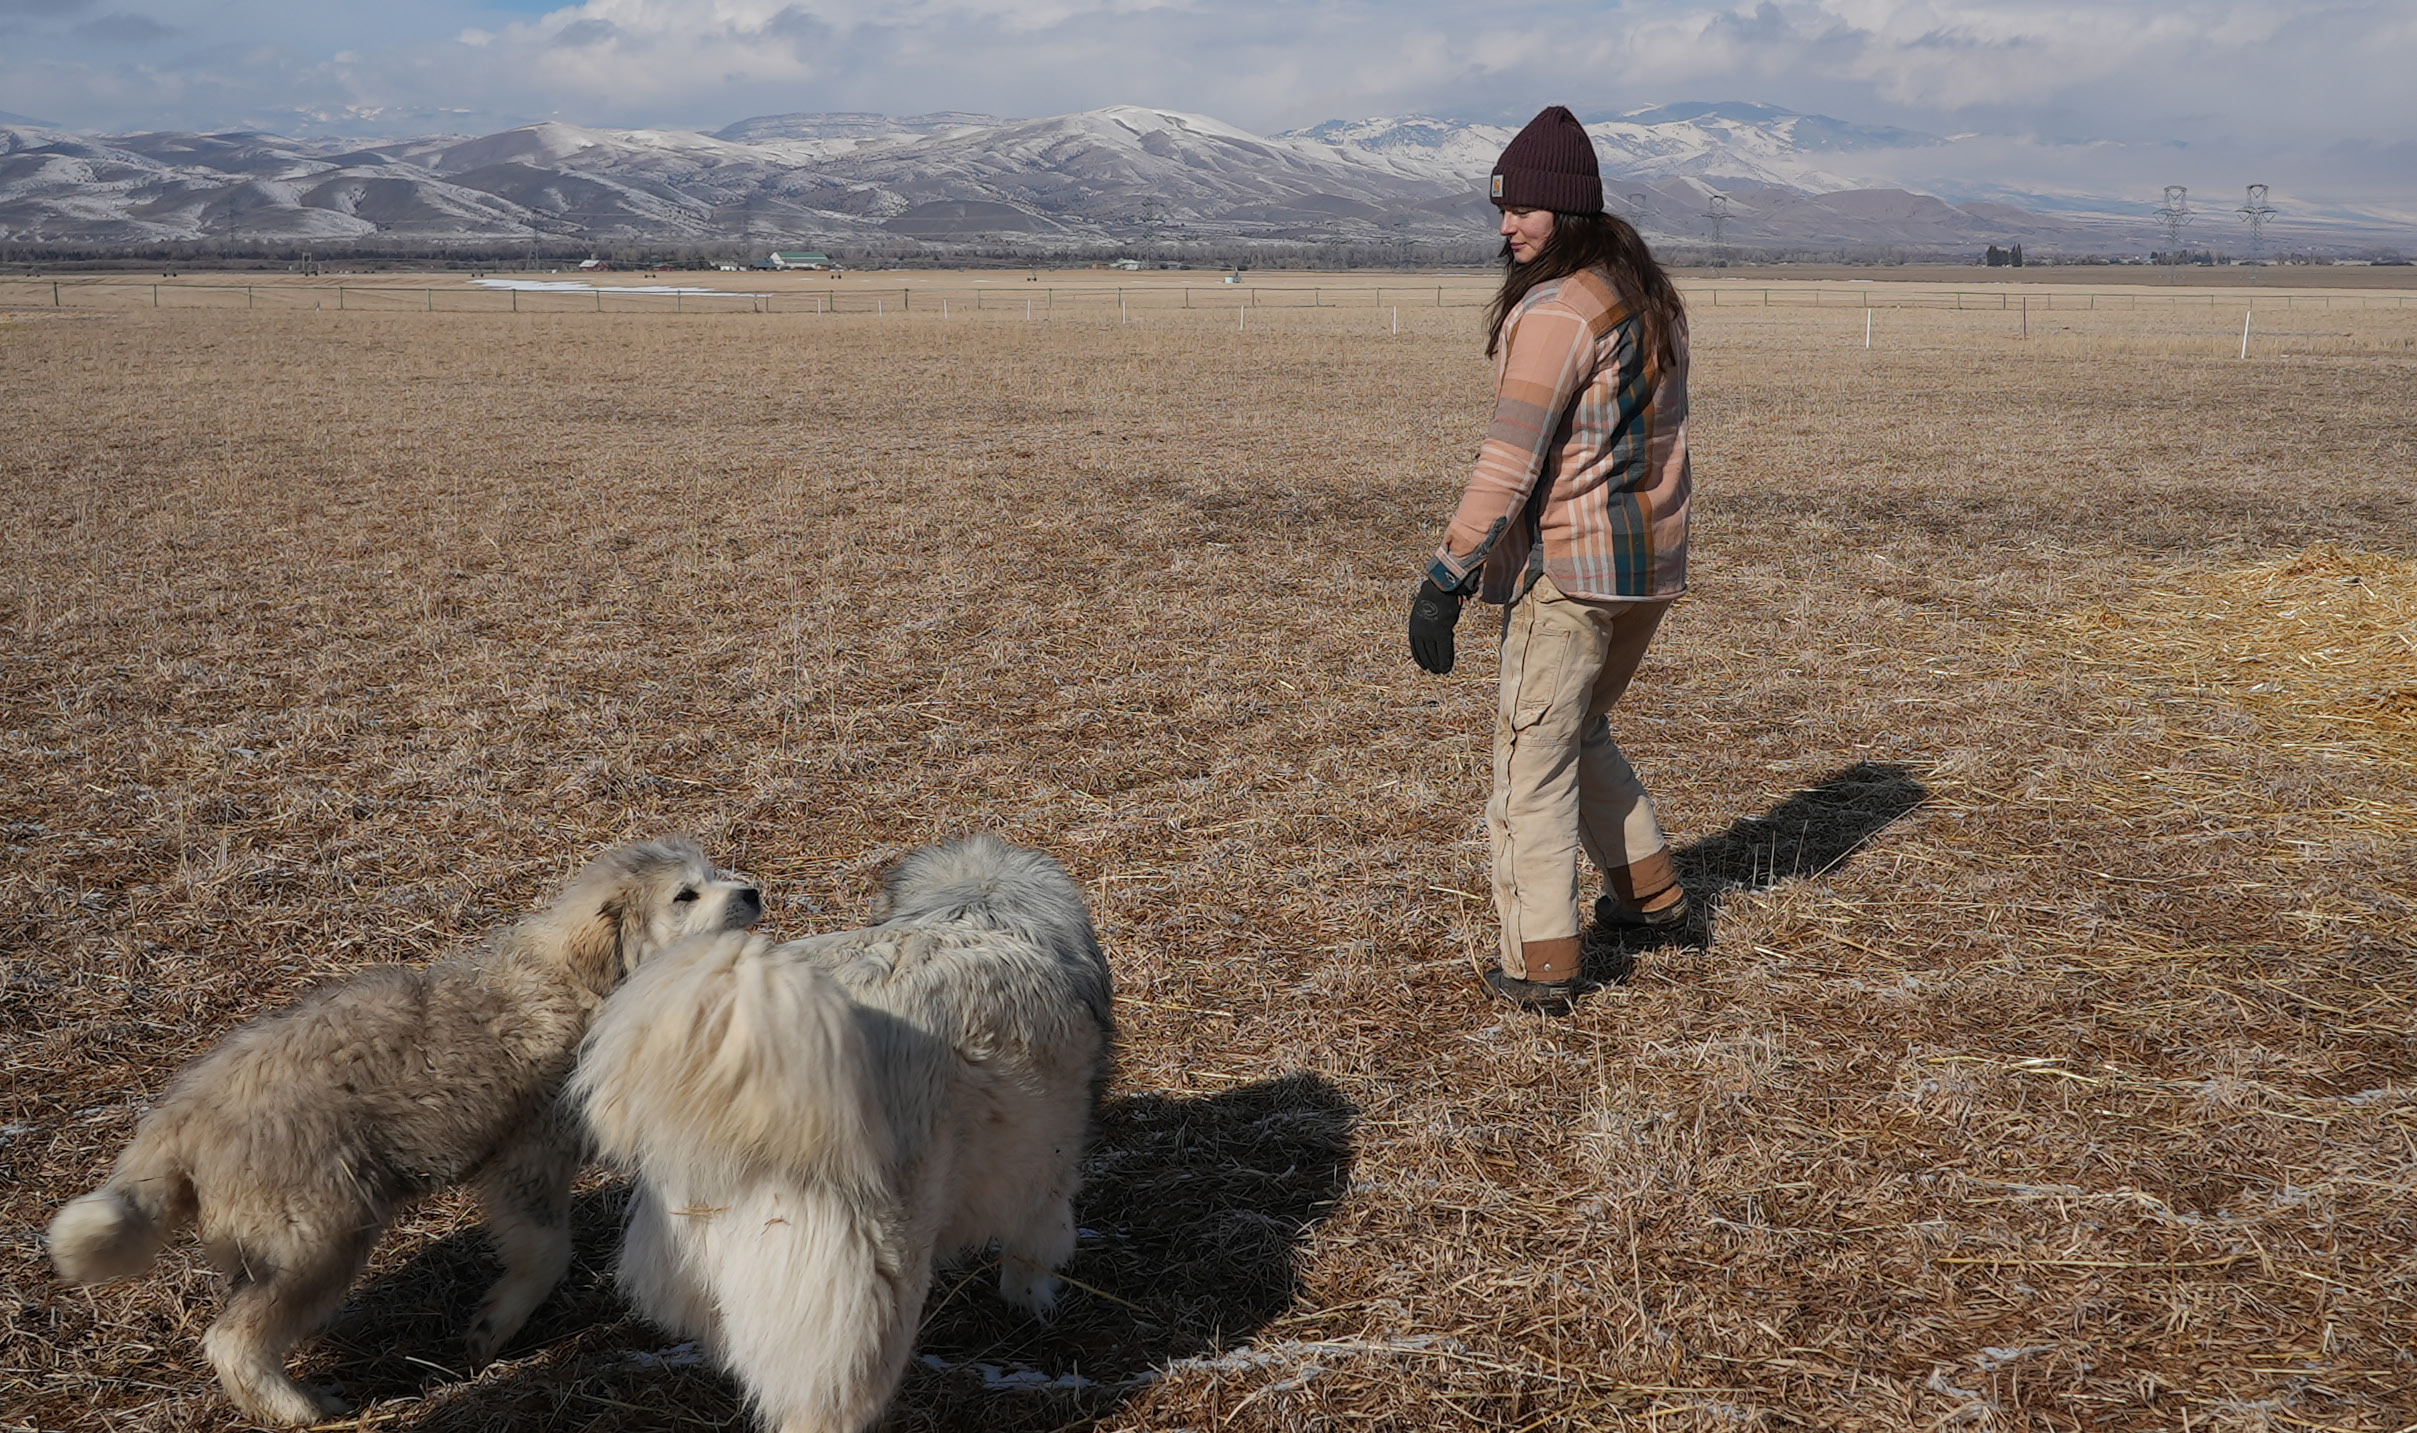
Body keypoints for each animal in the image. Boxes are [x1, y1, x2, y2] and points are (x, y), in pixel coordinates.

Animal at [49, 836, 763, 1420]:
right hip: (320, 1236)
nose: (753, 890)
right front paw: (494, 1325)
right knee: (233, 1341)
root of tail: (179, 1117)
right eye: (686, 894)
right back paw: (299, 1407)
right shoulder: (528, 1159)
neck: (579, 985)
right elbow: (546, 1254)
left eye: (713, 875)